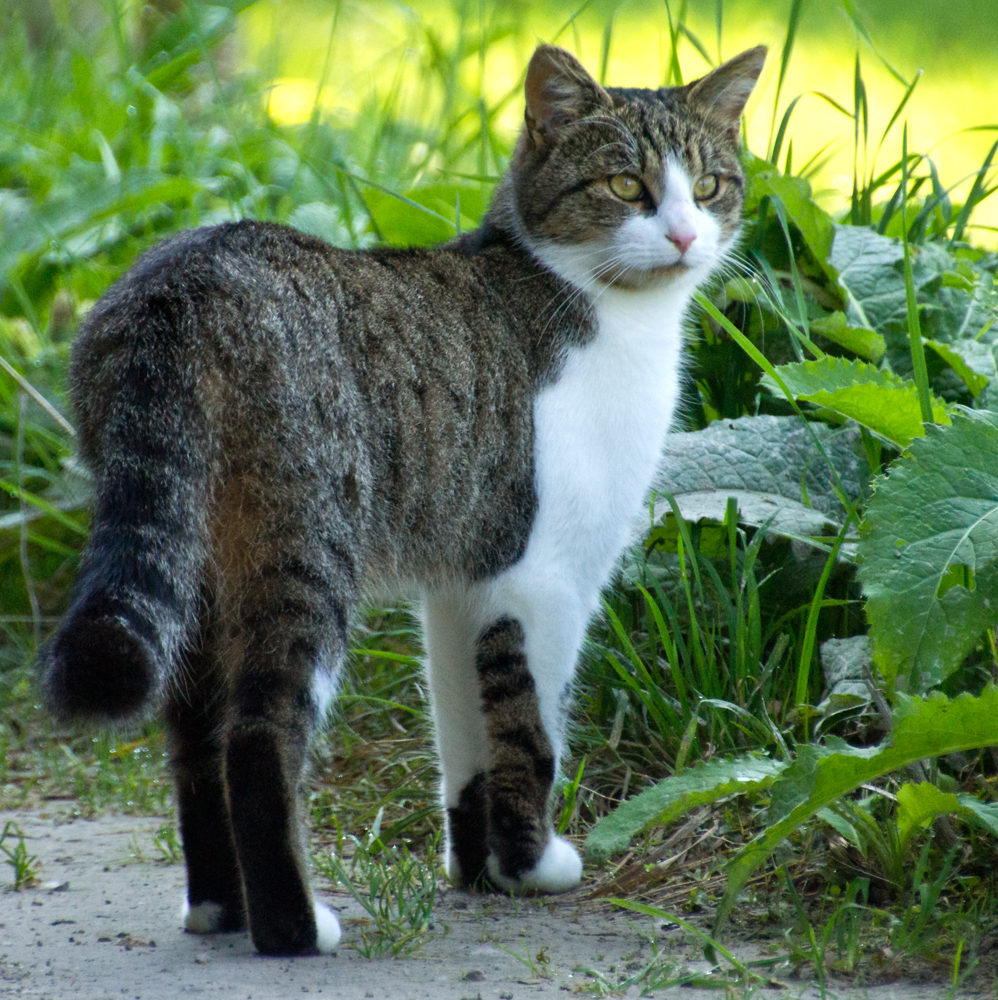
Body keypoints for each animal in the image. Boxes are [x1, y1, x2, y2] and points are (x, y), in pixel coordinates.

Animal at [41, 43, 764, 956]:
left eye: (708, 185)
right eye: (626, 186)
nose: (683, 235)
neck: (605, 314)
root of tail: (178, 286)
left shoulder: (464, 584)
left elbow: (466, 739)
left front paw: (479, 869)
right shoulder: (545, 577)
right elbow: (532, 734)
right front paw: (534, 866)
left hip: (202, 564)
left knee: (195, 741)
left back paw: (218, 910)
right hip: (305, 549)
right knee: (256, 737)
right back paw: (293, 927)